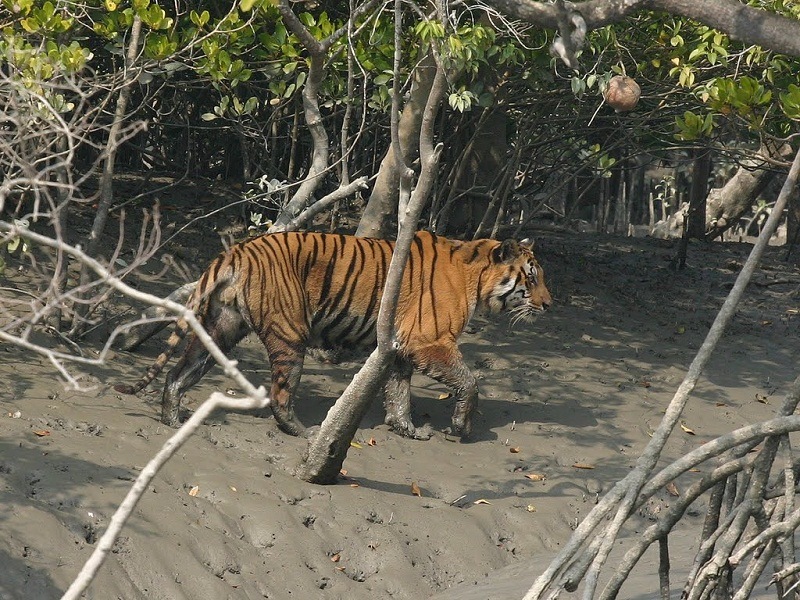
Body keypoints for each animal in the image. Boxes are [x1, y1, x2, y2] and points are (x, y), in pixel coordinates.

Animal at [114, 232, 552, 438]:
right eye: (531, 277)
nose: (549, 304)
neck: (474, 278)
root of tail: (235, 251)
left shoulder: (401, 347)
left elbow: (399, 392)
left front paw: (406, 429)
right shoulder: (430, 341)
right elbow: (469, 381)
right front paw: (461, 427)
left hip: (219, 329)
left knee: (177, 374)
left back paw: (172, 420)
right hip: (290, 335)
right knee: (280, 394)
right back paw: (301, 431)